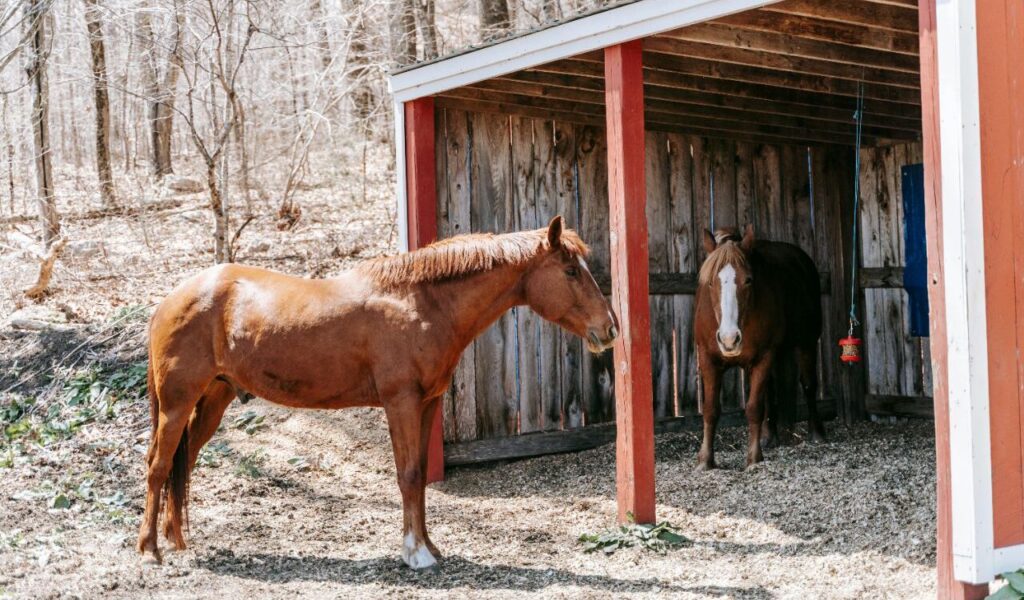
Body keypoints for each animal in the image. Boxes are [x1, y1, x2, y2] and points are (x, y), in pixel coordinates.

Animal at [137, 216, 618, 569]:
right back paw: (149, 550)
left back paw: (176, 540)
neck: (420, 303)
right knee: (159, 466)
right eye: (570, 271)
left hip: (212, 401)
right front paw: (416, 554)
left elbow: (419, 475)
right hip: (178, 402)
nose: (609, 328)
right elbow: (407, 475)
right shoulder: (400, 402)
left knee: (184, 462)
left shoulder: (427, 404)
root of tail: (169, 301)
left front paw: (430, 547)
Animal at [693, 224, 823, 470]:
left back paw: (817, 433)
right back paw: (769, 436)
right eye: (711, 282)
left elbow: (754, 408)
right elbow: (710, 409)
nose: (729, 339)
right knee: (770, 391)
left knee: (809, 384)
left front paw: (754, 458)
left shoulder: (764, 356)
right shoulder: (708, 359)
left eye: (748, 280)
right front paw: (706, 459)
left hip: (807, 343)